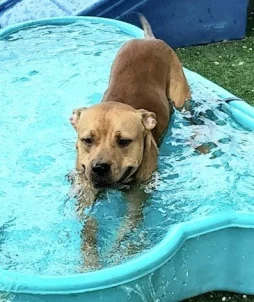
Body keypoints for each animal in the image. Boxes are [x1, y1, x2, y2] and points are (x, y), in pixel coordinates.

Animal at [69, 14, 190, 268]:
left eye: (124, 141)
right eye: (87, 140)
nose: (99, 167)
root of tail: (148, 40)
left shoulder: (137, 201)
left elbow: (125, 232)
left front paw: (119, 256)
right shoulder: (86, 191)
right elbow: (88, 226)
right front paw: (90, 261)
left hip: (181, 93)